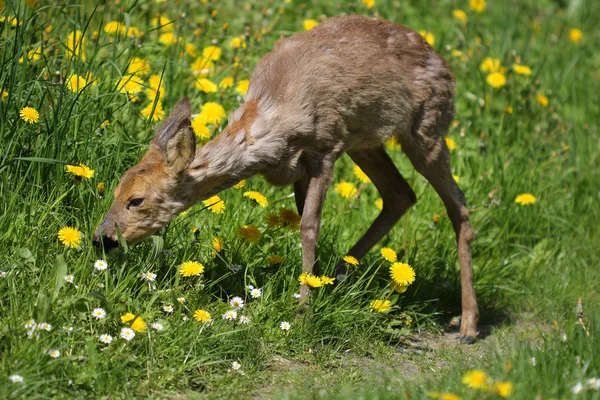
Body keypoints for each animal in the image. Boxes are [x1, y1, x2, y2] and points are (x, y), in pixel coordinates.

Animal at [92, 14, 478, 340]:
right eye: (116, 190)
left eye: (136, 200)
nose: (101, 238)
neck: (275, 118)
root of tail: (446, 66)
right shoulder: (300, 167)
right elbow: (304, 219)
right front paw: (313, 287)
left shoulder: (327, 146)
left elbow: (309, 226)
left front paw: (304, 312)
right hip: (367, 142)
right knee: (401, 194)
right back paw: (338, 275)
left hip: (426, 128)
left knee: (457, 205)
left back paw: (468, 324)